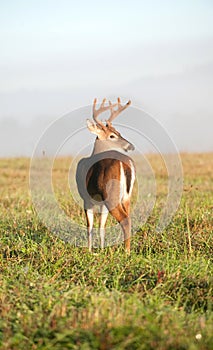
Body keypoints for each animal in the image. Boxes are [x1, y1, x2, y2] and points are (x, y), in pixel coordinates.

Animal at [76, 97, 136, 253]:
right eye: (113, 135)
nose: (131, 146)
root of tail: (125, 163)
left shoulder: (86, 198)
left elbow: (90, 226)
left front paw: (89, 251)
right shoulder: (101, 201)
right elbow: (102, 225)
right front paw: (101, 250)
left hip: (111, 195)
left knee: (125, 220)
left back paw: (126, 252)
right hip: (126, 197)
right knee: (129, 216)